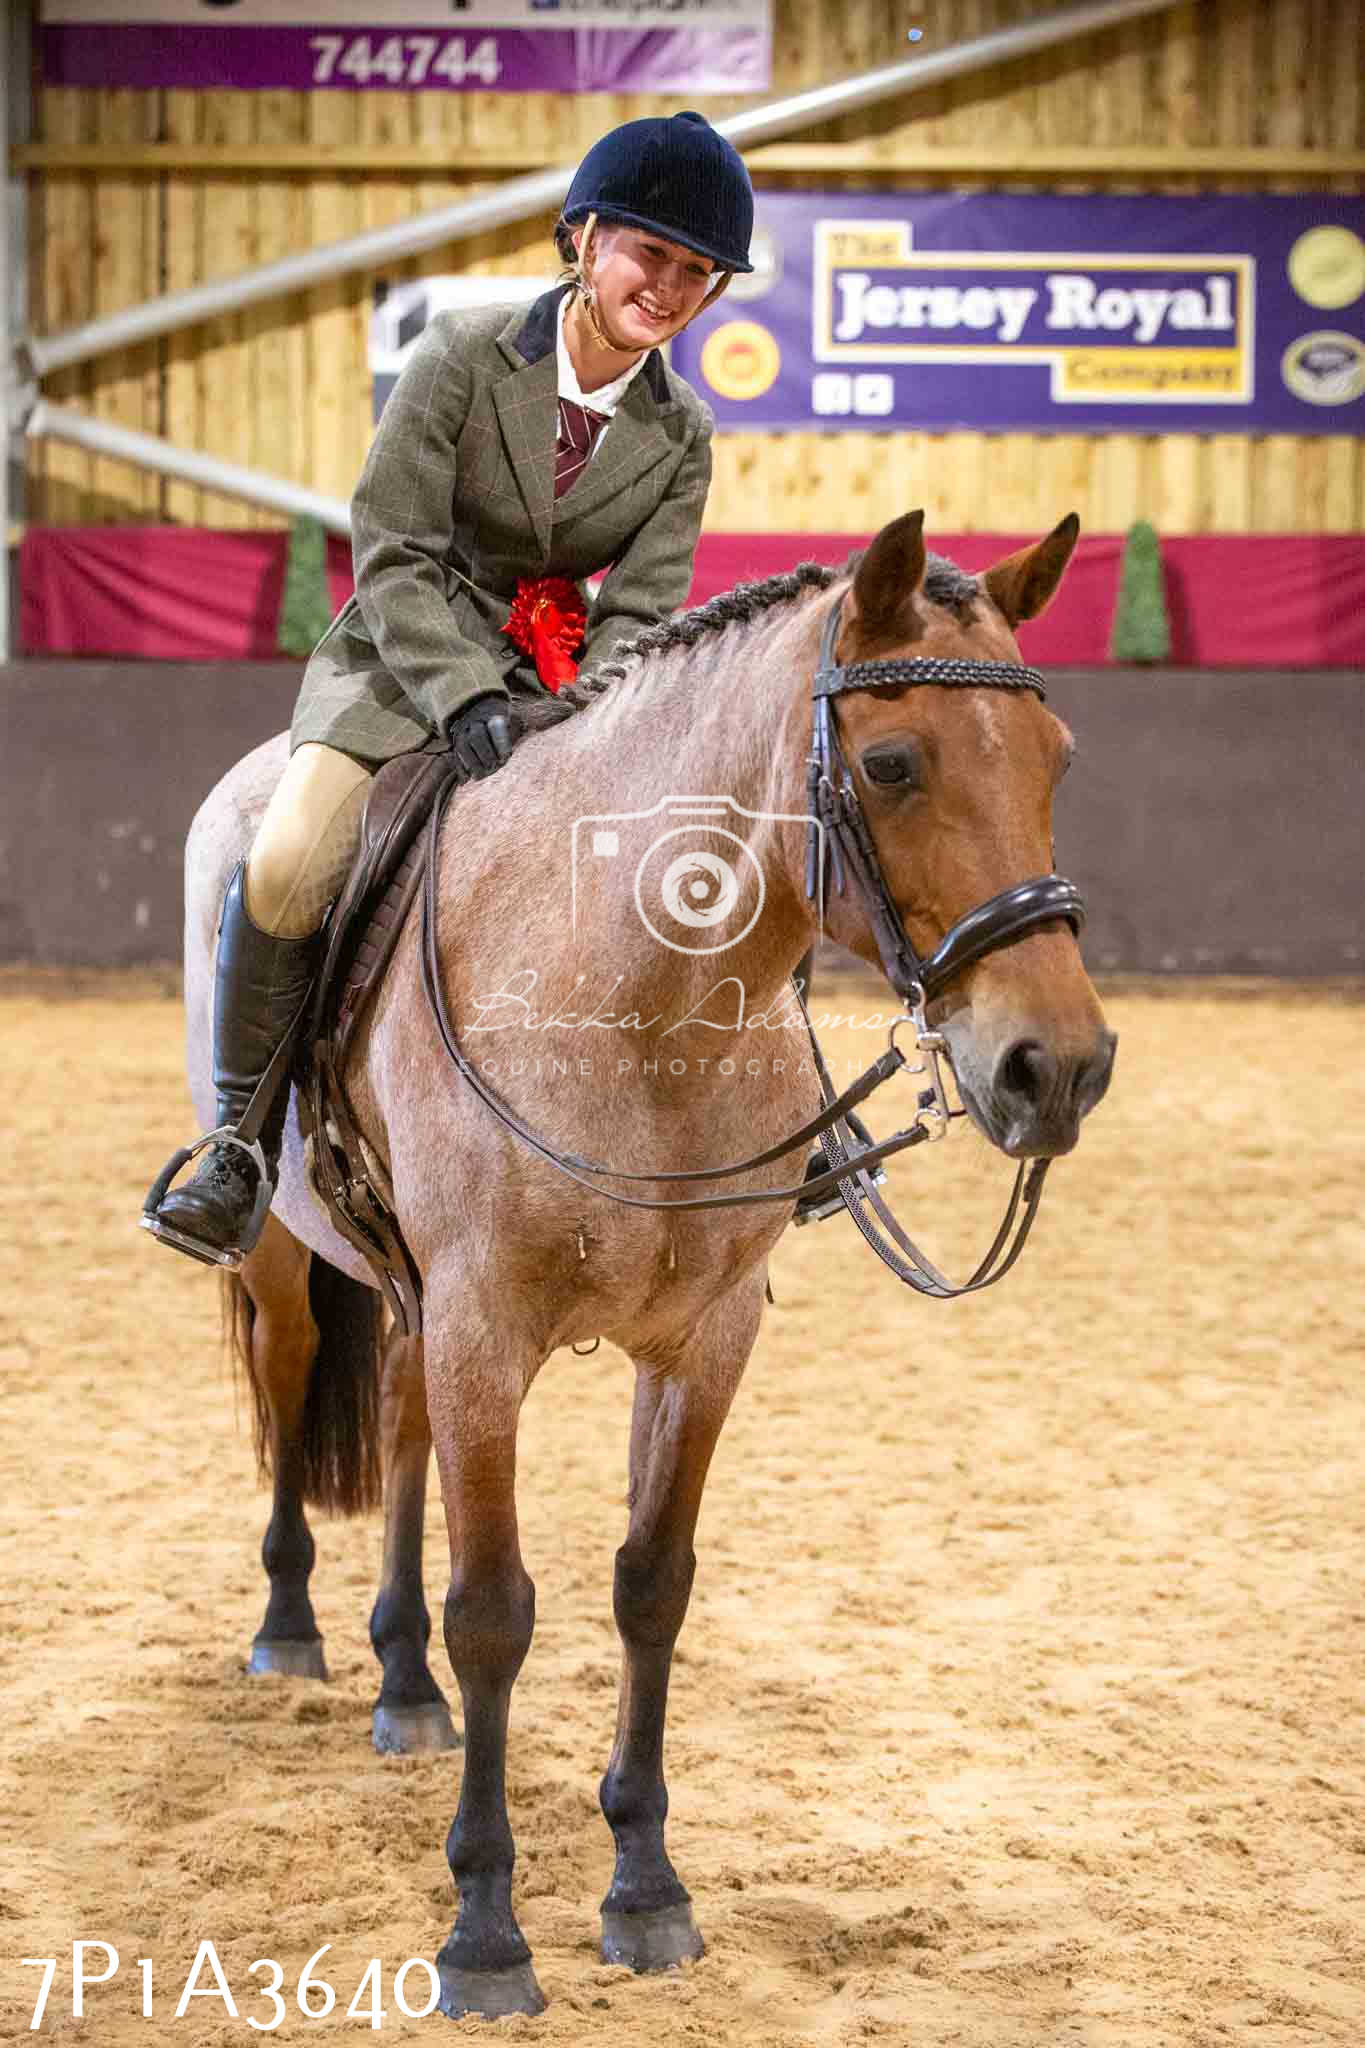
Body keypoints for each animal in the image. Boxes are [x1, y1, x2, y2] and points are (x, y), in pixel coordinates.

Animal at [184, 507, 1121, 2015]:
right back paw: (290, 1628)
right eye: (893, 763)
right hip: (288, 1252)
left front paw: (644, 1888)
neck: (637, 998)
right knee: (288, 1383)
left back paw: (402, 1688)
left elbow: (649, 1589)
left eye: (1056, 760)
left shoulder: (704, 1336)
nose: (1061, 1067)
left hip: (415, 1305)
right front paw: (487, 1931)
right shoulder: (485, 1327)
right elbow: (496, 1608)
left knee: (397, 1427)